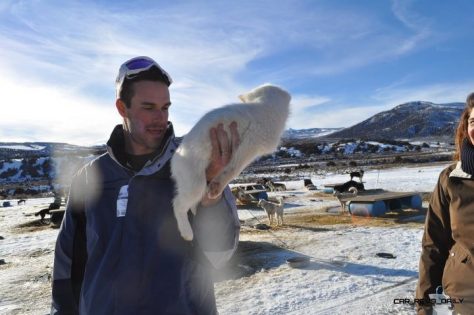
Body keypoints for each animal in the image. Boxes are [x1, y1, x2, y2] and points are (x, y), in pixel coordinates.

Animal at [170, 84, 288, 242]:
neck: (264, 107)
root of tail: (175, 161)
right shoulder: (248, 147)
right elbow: (233, 170)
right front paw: (217, 187)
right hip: (195, 184)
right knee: (178, 204)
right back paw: (187, 232)